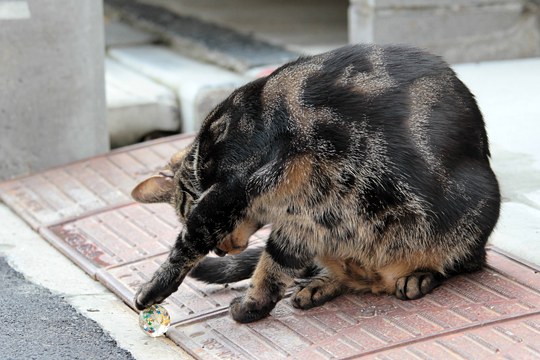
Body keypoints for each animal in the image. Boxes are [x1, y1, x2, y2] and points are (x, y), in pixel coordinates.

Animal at [131, 43, 502, 322]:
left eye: (183, 212)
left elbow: (186, 245)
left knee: (463, 263)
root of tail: (378, 278)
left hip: (473, 216)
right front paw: (253, 307)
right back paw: (318, 286)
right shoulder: (302, 219)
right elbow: (272, 267)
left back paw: (418, 276)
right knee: (337, 274)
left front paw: (150, 291)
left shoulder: (228, 194)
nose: (223, 251)